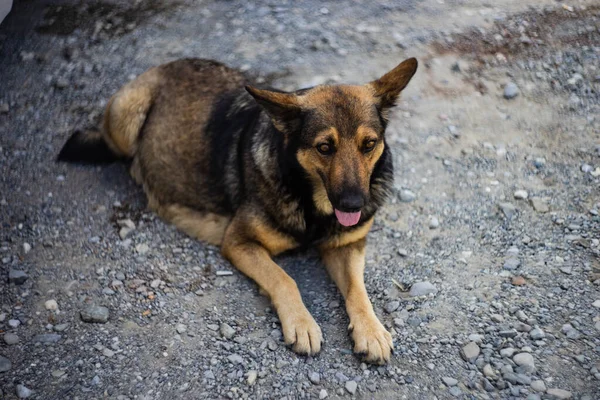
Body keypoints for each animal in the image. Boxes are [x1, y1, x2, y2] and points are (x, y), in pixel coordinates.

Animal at [59, 57, 418, 366]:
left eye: (368, 144)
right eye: (324, 147)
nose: (354, 204)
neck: (309, 200)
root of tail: (167, 64)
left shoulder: (347, 245)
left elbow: (358, 290)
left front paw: (371, 331)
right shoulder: (238, 242)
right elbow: (285, 279)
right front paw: (302, 323)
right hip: (126, 116)